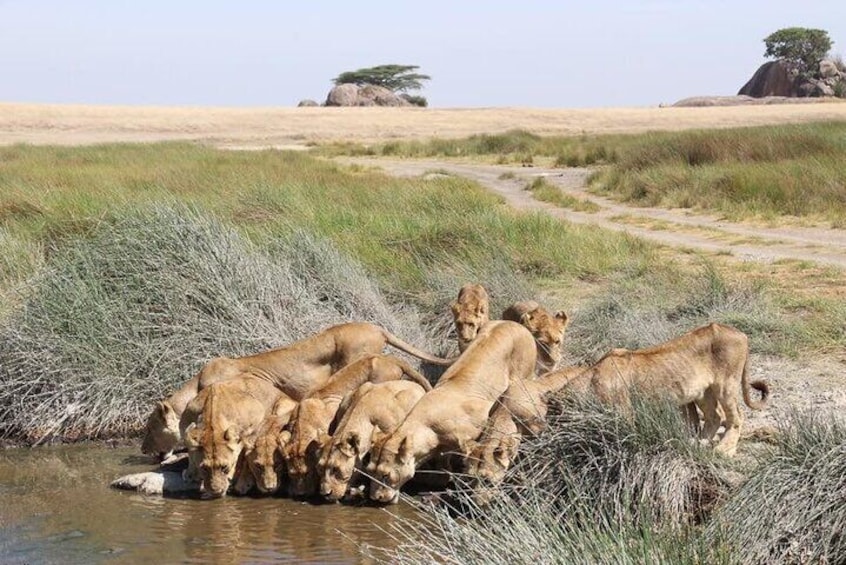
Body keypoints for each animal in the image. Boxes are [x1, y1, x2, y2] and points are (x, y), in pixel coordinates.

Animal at [562, 323, 769, 456]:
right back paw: (698, 443)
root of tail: (741, 334)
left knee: (736, 417)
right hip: (703, 392)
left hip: (726, 384)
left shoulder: (624, 412)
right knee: (715, 416)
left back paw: (724, 450)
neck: (590, 378)